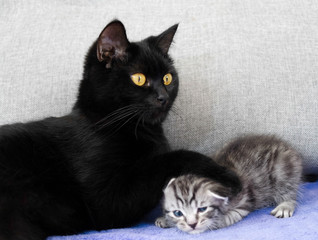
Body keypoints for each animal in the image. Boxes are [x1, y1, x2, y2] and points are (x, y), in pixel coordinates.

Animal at [0, 21, 241, 240]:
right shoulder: (105, 204)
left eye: (167, 78)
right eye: (139, 78)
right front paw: (224, 174)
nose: (163, 97)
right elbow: (170, 158)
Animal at [156, 136, 304, 233]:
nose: (192, 224)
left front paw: (210, 224)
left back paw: (285, 205)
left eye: (202, 209)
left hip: (282, 171)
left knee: (289, 192)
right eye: (178, 213)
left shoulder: (243, 204)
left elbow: (223, 220)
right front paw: (166, 220)